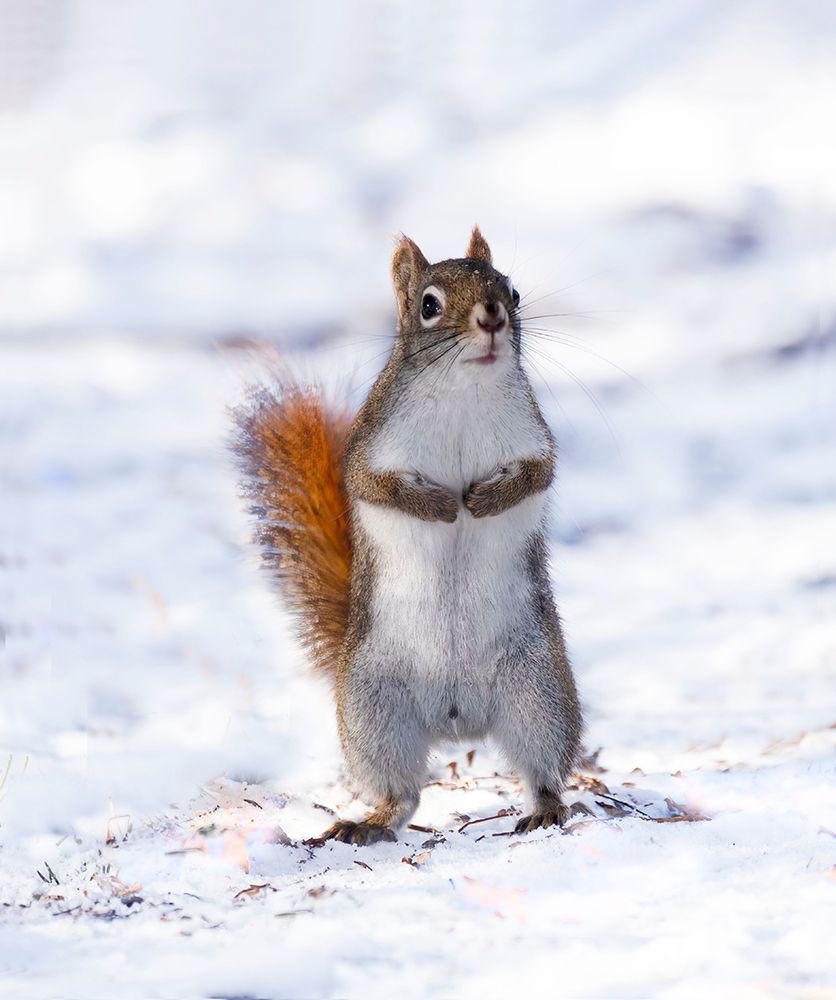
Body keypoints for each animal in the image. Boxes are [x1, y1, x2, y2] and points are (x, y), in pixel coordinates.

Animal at [233, 227, 580, 844]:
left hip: (538, 689)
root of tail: (459, 720)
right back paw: (369, 823)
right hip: (375, 708)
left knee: (542, 766)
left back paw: (544, 808)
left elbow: (538, 474)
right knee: (402, 793)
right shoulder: (371, 447)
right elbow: (375, 486)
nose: (492, 317)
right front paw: (439, 504)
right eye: (429, 305)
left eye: (512, 292)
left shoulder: (534, 439)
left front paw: (485, 500)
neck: (465, 390)